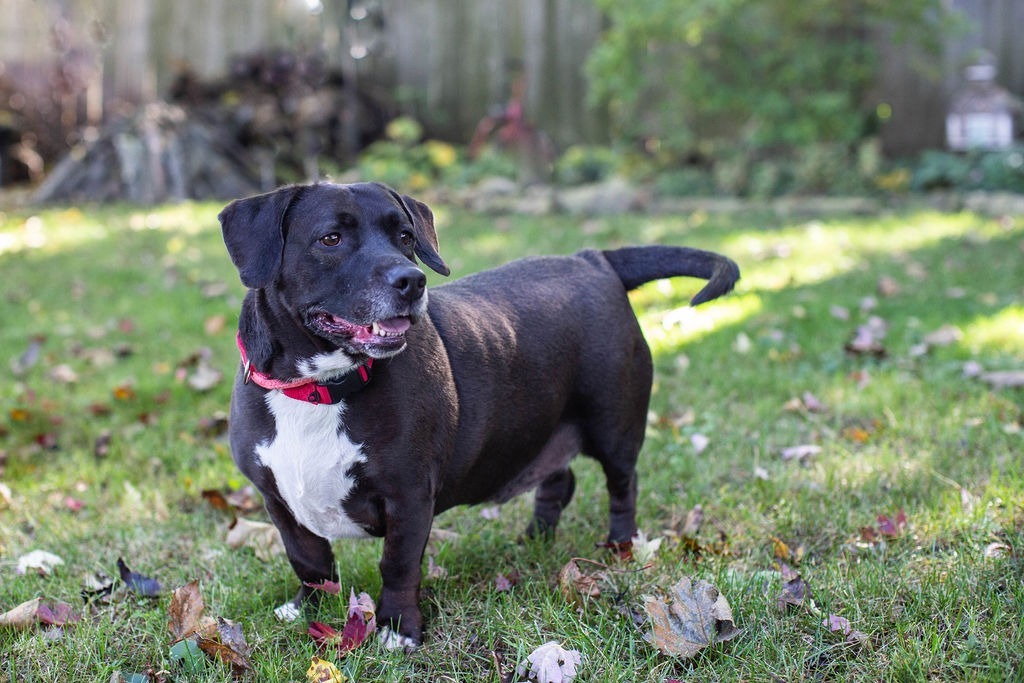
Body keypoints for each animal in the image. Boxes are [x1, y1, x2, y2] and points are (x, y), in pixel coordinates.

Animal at [220, 180, 741, 647]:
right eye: (330, 239)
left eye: (405, 237)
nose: (412, 281)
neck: (317, 388)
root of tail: (593, 260)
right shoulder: (278, 500)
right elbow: (309, 562)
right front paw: (308, 609)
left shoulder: (409, 496)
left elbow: (398, 565)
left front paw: (398, 629)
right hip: (544, 424)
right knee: (558, 480)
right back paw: (534, 539)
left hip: (614, 425)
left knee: (622, 484)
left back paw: (621, 546)